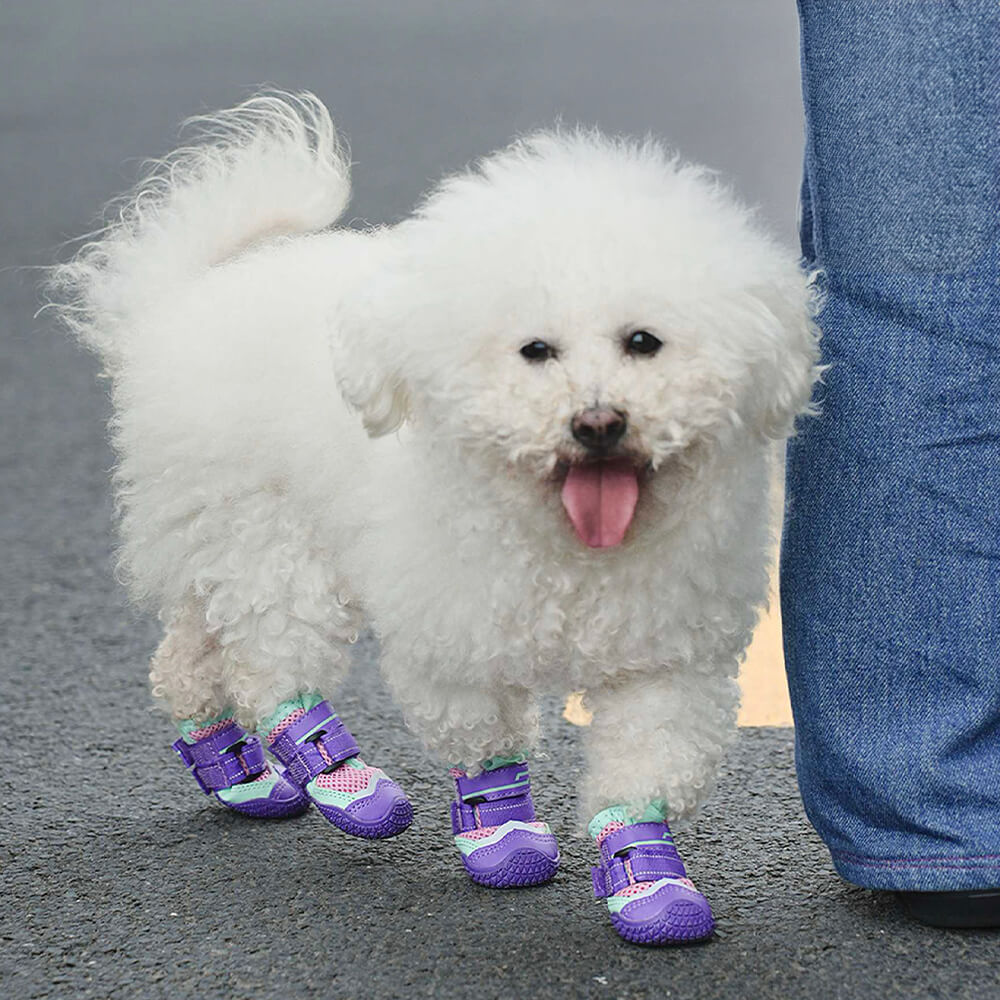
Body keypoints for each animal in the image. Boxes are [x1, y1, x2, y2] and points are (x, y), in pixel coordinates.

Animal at [54, 90, 816, 940]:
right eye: (535, 350)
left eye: (643, 342)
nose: (598, 422)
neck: (567, 546)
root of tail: (184, 297)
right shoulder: (458, 633)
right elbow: (483, 742)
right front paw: (502, 841)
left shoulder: (661, 657)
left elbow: (645, 766)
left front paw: (648, 883)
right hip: (268, 540)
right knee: (269, 661)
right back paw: (345, 784)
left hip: (217, 543)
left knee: (189, 656)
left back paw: (234, 772)